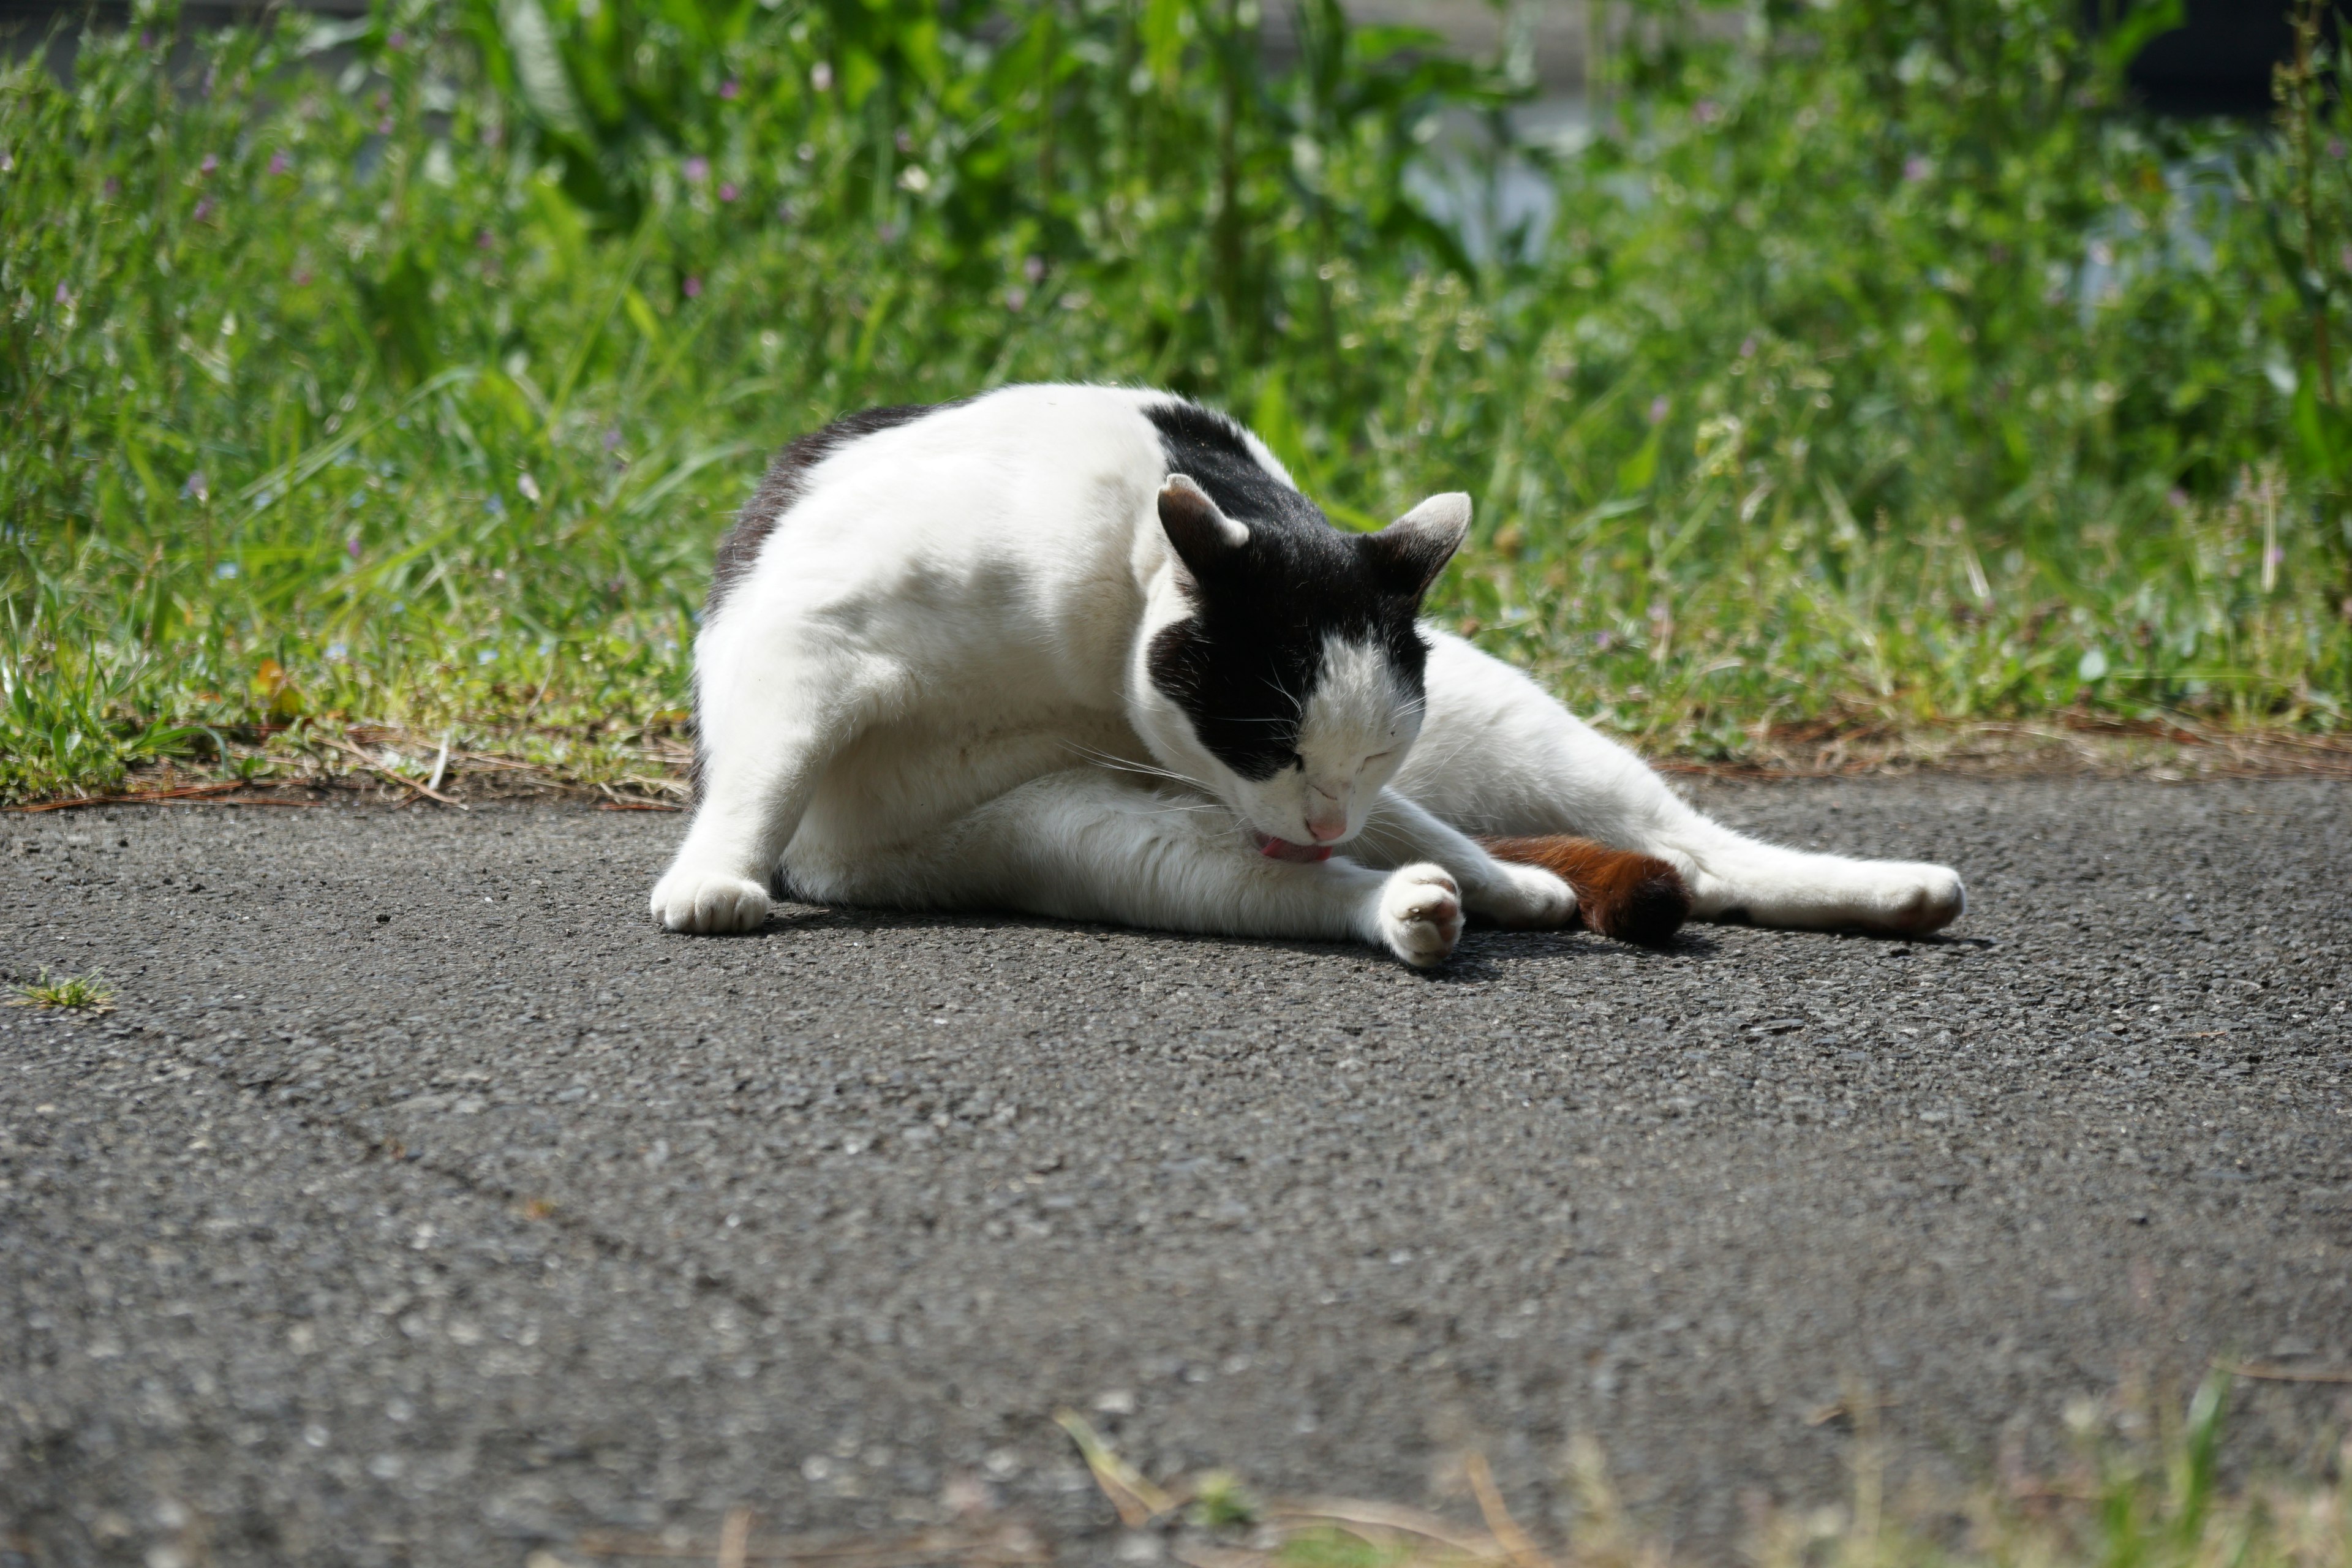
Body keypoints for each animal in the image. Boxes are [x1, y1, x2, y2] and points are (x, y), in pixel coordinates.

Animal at [649, 385, 1966, 963]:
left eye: (1374, 744)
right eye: (1272, 742)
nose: (1326, 811)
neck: (1082, 648)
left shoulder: (1366, 783)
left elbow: (1423, 820)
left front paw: (1506, 882)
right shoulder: (804, 640)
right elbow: (761, 777)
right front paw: (716, 878)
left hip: (1517, 736)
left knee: (1689, 847)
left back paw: (1891, 890)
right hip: (1090, 836)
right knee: (1338, 884)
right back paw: (1423, 907)